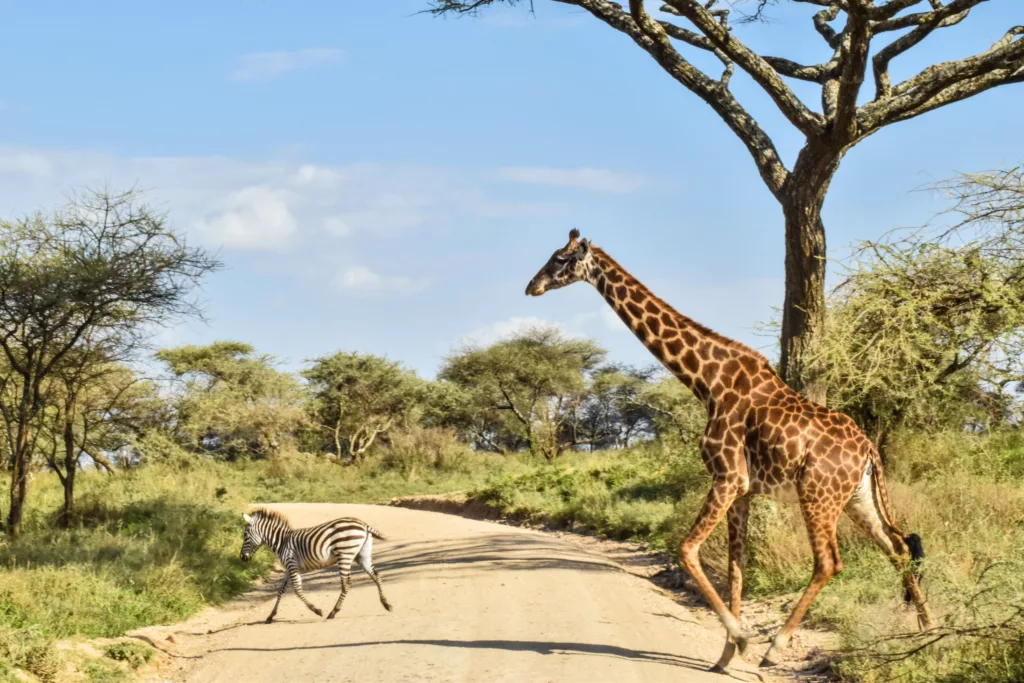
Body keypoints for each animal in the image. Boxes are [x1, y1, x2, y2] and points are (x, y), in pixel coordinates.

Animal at [241, 507, 393, 626]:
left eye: (245, 535)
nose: (242, 558)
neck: (282, 542)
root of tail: (363, 524)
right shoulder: (288, 569)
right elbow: (281, 591)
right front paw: (270, 616)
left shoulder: (292, 564)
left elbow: (297, 590)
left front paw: (317, 610)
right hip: (362, 555)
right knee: (376, 575)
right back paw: (386, 604)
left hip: (345, 554)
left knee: (346, 583)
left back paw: (333, 612)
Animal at [524, 232, 933, 671]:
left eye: (560, 258)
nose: (532, 286)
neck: (706, 380)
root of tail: (869, 449)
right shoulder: (743, 489)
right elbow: (737, 567)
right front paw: (726, 654)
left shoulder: (727, 476)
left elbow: (687, 549)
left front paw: (742, 638)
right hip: (857, 498)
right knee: (898, 549)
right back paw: (929, 632)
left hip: (817, 495)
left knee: (830, 562)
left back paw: (777, 646)